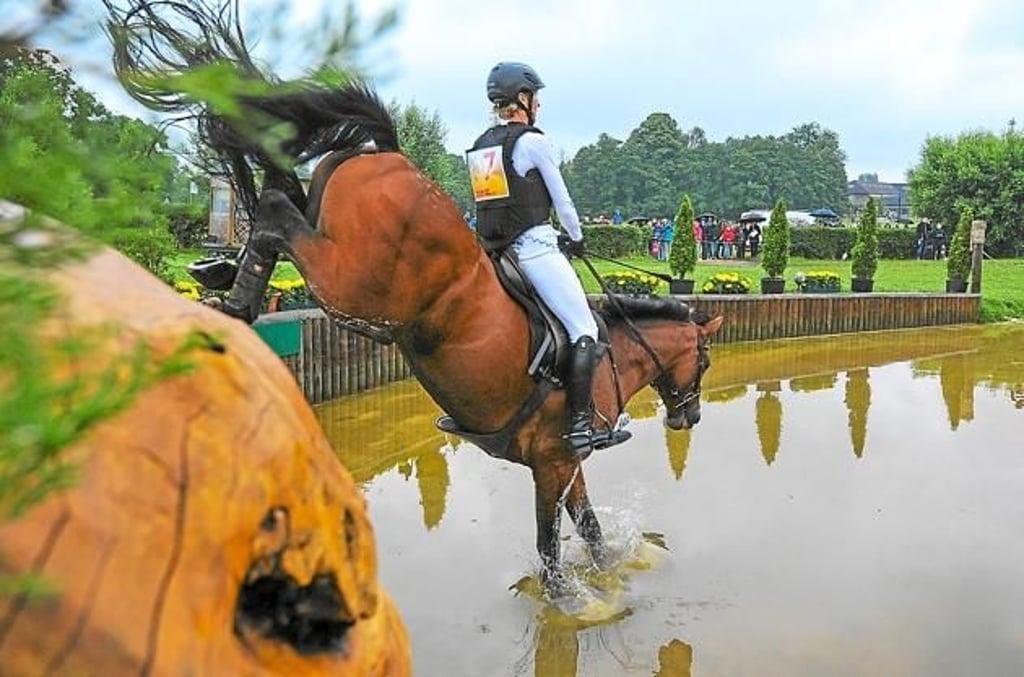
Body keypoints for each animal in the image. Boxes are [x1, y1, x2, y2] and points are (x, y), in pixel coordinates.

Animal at [108, 1, 724, 589]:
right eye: (705, 360)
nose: (689, 419)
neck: (612, 356)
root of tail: (389, 153)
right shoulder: (554, 460)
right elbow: (551, 548)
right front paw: (571, 601)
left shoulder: (563, 465)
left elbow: (589, 528)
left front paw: (605, 574)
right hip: (357, 284)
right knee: (279, 215)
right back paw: (234, 296)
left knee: (280, 197)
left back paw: (226, 289)